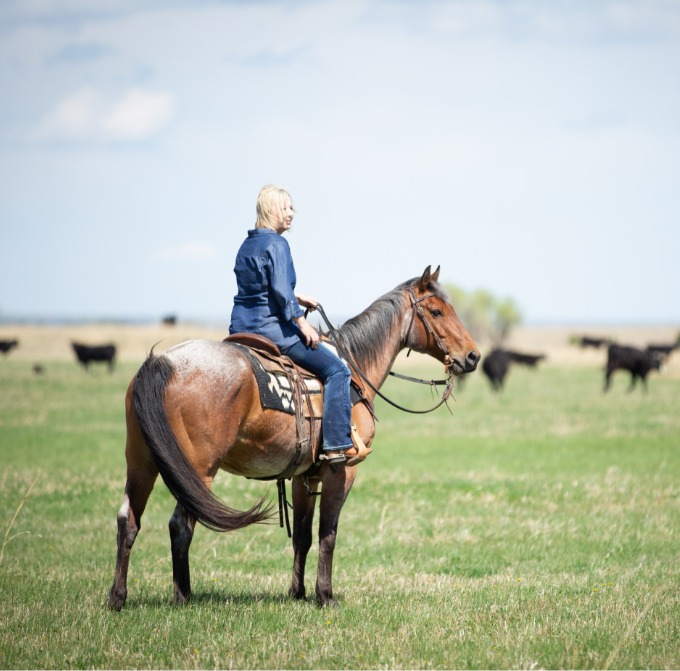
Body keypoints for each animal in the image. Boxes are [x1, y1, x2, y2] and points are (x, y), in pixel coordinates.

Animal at [109, 266, 478, 608]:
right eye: (436, 312)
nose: (473, 356)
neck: (353, 371)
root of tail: (162, 362)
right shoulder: (342, 471)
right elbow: (328, 533)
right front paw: (325, 595)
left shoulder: (304, 477)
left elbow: (302, 535)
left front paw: (297, 592)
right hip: (198, 470)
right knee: (180, 525)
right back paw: (182, 596)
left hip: (141, 462)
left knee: (129, 521)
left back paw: (118, 597)